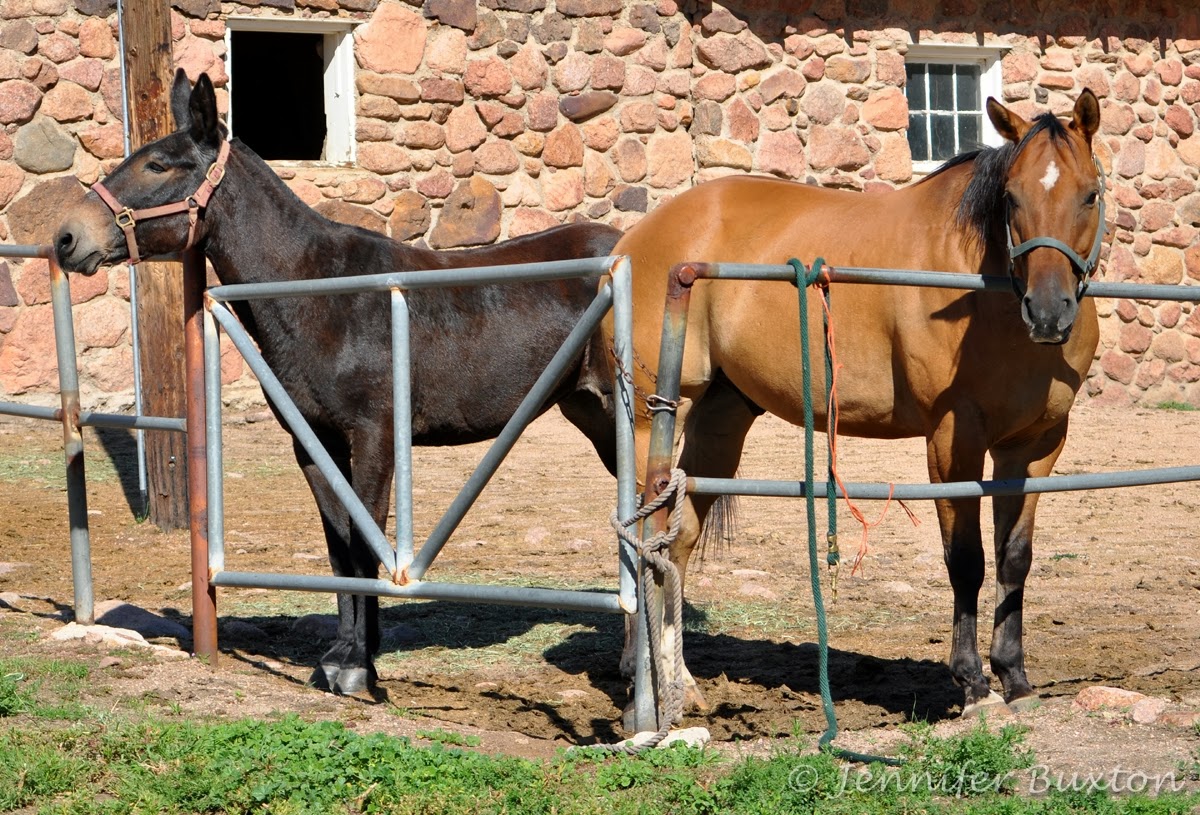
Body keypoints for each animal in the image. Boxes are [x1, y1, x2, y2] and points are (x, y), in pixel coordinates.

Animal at [54, 70, 623, 696]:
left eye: (159, 165)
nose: (67, 238)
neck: (319, 293)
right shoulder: (315, 443)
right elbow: (339, 549)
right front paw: (342, 656)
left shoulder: (374, 437)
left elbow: (365, 543)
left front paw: (357, 667)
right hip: (596, 417)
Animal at [602, 90, 1104, 717]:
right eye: (1012, 198)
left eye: (1090, 193)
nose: (1049, 311)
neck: (983, 292)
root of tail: (633, 242)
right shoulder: (953, 441)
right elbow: (966, 560)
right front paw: (972, 684)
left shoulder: (1034, 448)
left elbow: (1015, 558)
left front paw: (1014, 678)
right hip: (655, 419)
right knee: (644, 534)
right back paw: (639, 680)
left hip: (722, 419)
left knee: (680, 540)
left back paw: (681, 683)